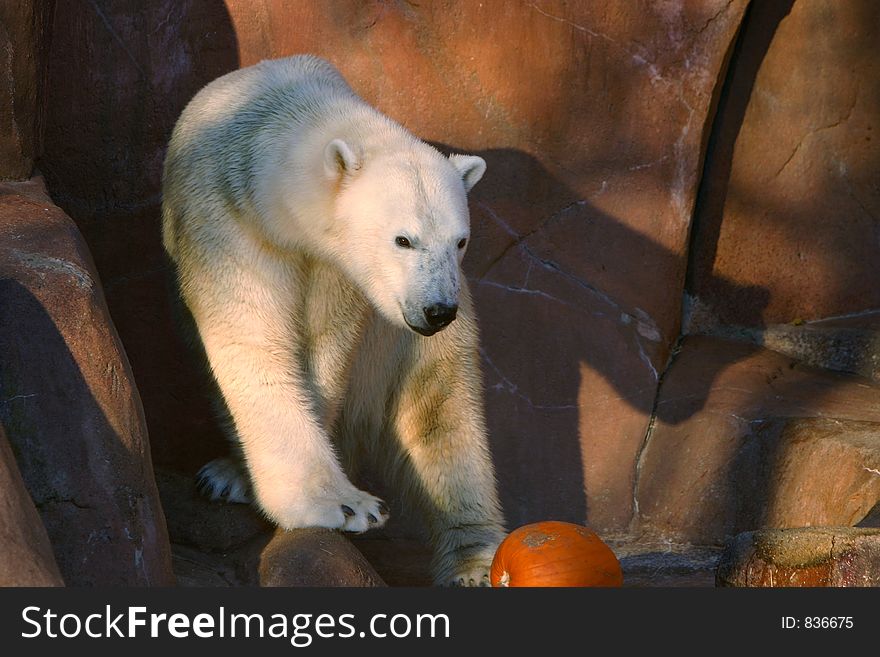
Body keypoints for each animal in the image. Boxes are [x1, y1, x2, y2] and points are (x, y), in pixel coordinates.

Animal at [162, 55, 506, 584]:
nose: (437, 310)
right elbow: (251, 339)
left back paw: (476, 562)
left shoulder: (342, 275)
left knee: (443, 410)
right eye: (403, 239)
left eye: (461, 240)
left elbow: (325, 353)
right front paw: (345, 507)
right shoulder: (227, 221)